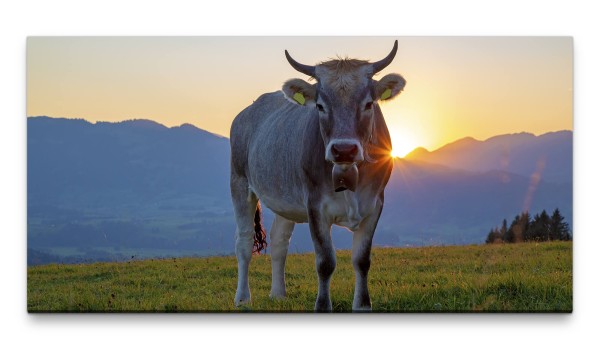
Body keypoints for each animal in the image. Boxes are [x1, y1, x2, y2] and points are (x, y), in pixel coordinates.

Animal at [232, 40, 406, 312]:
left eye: (369, 104)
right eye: (320, 106)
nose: (344, 149)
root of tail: (247, 111)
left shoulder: (375, 203)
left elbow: (362, 260)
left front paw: (362, 305)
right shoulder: (315, 205)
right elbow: (325, 262)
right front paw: (322, 306)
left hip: (286, 200)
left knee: (279, 241)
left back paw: (278, 294)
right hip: (239, 182)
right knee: (244, 243)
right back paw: (242, 298)